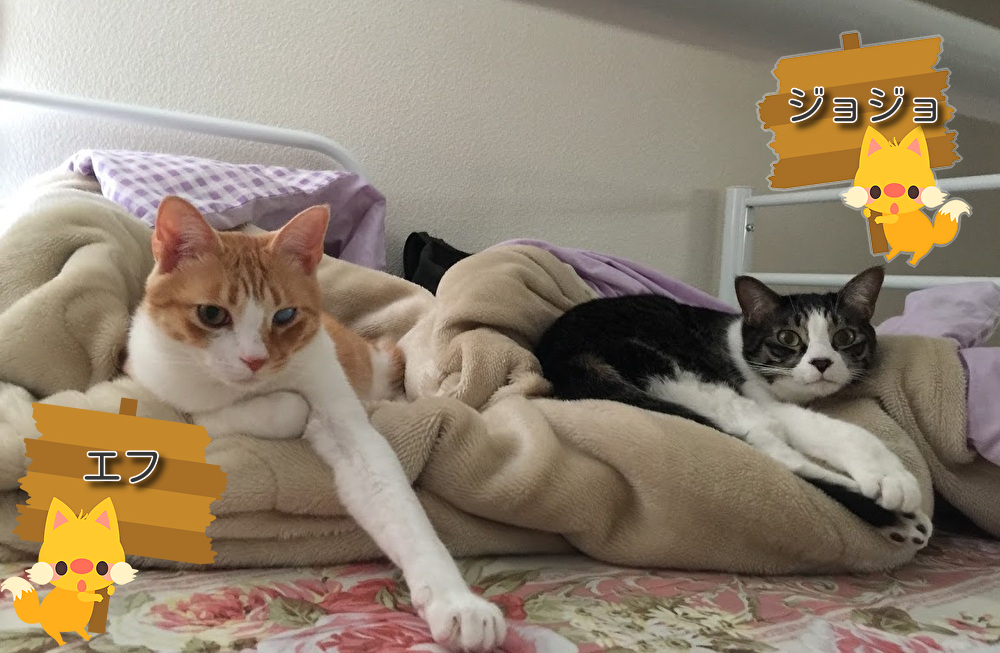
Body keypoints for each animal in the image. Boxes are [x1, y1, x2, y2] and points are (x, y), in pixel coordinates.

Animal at [124, 196, 506, 652]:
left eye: (285, 315)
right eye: (212, 314)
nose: (254, 360)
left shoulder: (345, 419)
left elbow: (396, 503)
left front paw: (456, 601)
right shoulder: (154, 379)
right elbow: (243, 410)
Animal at [534, 266, 933, 549]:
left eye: (845, 336)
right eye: (788, 338)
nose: (821, 362)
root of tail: (563, 359)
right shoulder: (759, 396)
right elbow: (845, 432)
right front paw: (892, 479)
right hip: (681, 372)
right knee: (773, 450)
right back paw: (900, 519)